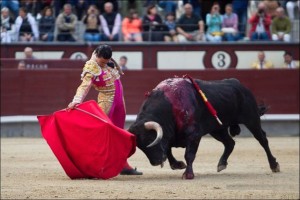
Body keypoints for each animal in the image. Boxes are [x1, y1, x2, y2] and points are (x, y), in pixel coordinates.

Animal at [127, 77, 280, 180]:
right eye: (140, 146)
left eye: (150, 139)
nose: (156, 162)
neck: (170, 107)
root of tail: (239, 85)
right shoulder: (170, 135)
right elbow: (168, 150)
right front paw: (177, 165)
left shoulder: (193, 135)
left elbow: (189, 154)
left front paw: (188, 174)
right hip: (218, 129)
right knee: (230, 143)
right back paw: (221, 164)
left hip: (252, 119)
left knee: (263, 140)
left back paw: (274, 165)